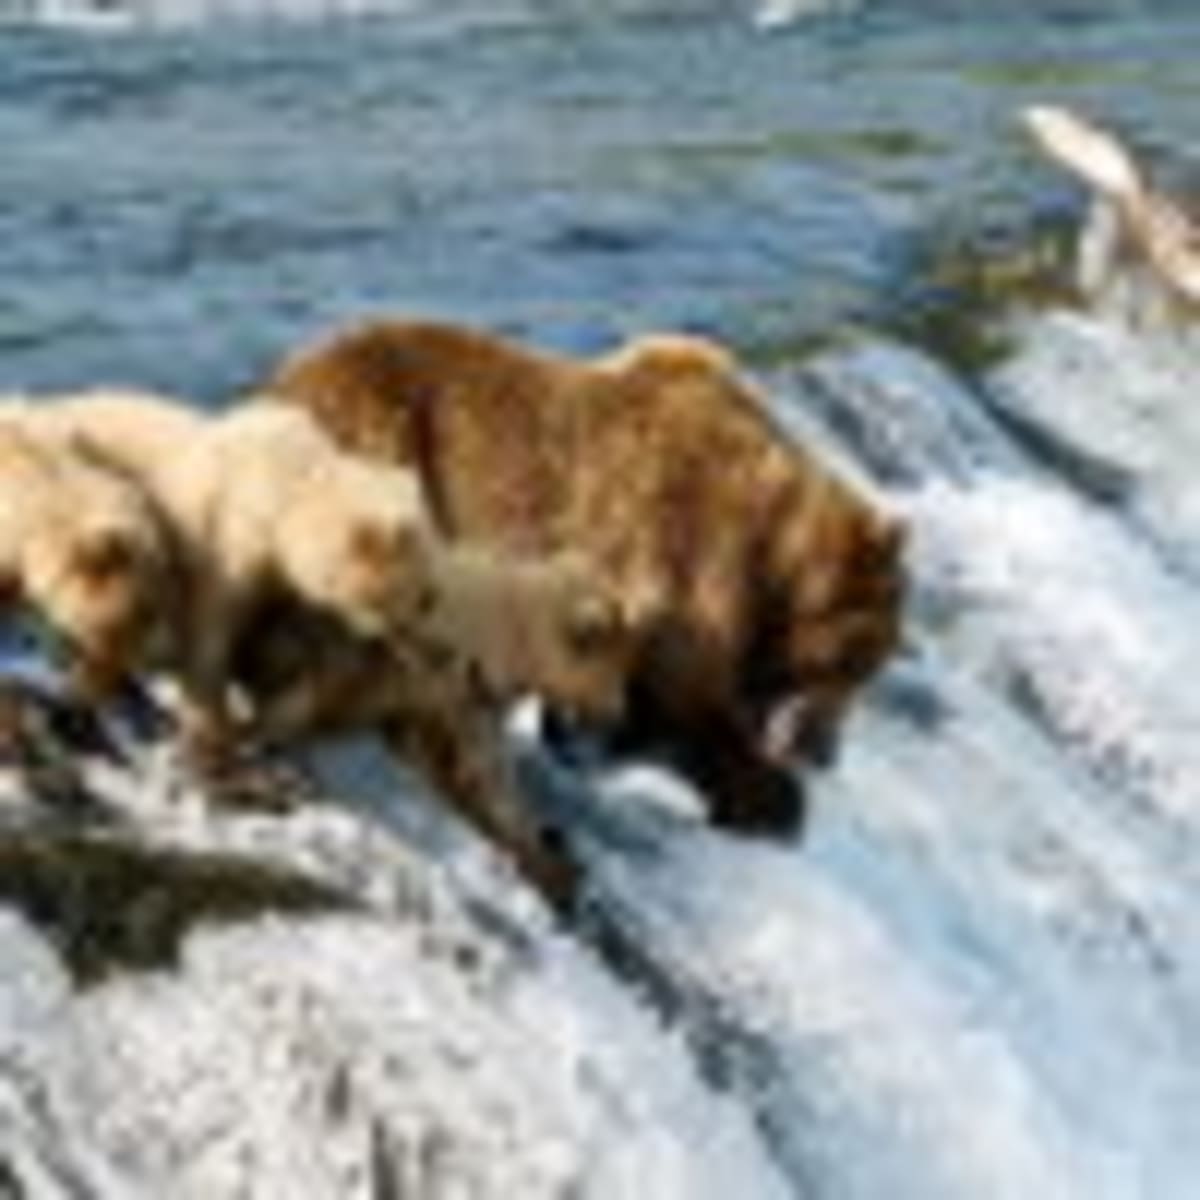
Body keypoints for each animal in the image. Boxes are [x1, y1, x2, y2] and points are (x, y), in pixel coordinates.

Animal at [262, 318, 907, 834]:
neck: (770, 561)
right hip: (384, 451)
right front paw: (765, 793)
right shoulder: (683, 557)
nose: (825, 753)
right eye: (858, 665)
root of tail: (281, 384)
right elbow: (687, 691)